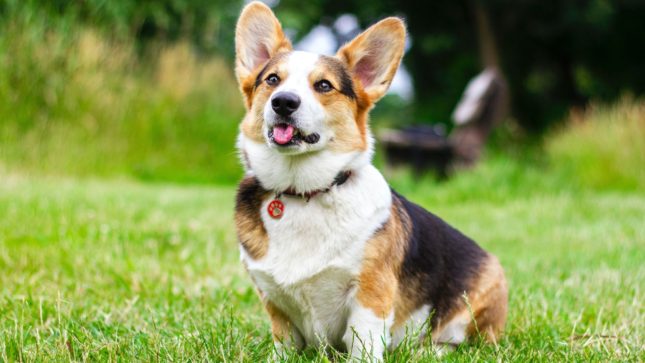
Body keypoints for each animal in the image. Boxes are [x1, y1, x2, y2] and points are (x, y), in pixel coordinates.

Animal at [233, 2, 508, 362]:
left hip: (480, 299)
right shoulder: (274, 300)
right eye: (272, 80)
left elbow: (363, 340)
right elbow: (284, 343)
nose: (283, 101)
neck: (304, 192)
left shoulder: (369, 292)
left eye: (324, 86)